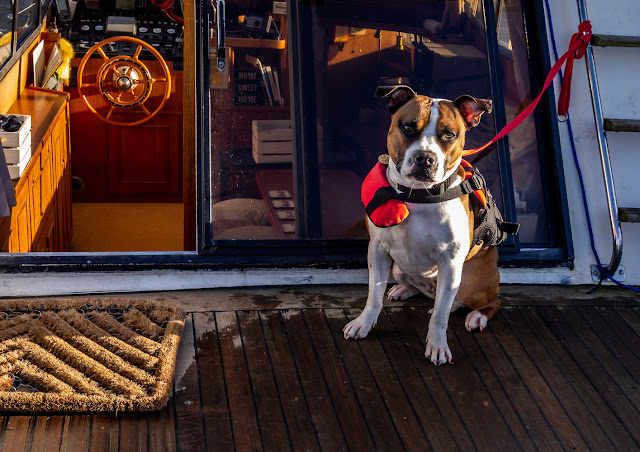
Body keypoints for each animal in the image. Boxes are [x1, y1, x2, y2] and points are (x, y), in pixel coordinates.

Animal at [344, 85, 500, 366]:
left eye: (449, 135)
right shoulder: (378, 251)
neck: (417, 194)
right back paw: (404, 289)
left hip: (470, 283)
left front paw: (437, 345)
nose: (425, 158)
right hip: (397, 268)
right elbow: (374, 295)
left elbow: (439, 316)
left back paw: (477, 316)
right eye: (407, 127)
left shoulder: (451, 263)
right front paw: (364, 323)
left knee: (490, 302)